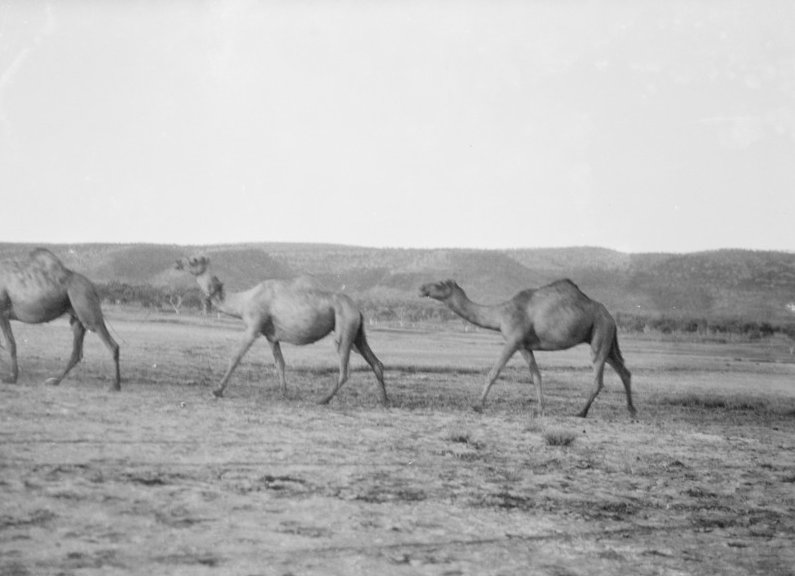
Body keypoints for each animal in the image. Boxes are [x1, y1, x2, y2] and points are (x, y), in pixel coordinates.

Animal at [0, 248, 121, 390]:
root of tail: (93, 287)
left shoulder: (2, 311)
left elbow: (10, 344)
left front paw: (11, 378)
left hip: (86, 306)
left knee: (111, 344)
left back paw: (116, 385)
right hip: (76, 317)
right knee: (77, 352)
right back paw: (54, 381)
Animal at [175, 255, 387, 405]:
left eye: (194, 260)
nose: (177, 262)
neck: (243, 301)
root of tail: (358, 310)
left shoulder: (253, 327)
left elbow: (236, 357)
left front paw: (217, 390)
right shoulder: (271, 336)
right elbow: (280, 363)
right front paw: (284, 393)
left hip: (345, 326)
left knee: (345, 370)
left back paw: (322, 400)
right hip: (357, 332)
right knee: (376, 362)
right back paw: (385, 400)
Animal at [419, 279, 635, 418]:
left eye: (439, 284)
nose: (421, 288)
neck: (500, 315)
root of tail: (611, 317)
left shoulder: (513, 340)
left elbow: (494, 372)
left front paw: (477, 405)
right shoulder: (524, 346)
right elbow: (536, 376)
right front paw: (540, 409)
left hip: (600, 332)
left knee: (599, 376)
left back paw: (581, 412)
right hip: (606, 339)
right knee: (624, 370)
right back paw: (632, 410)